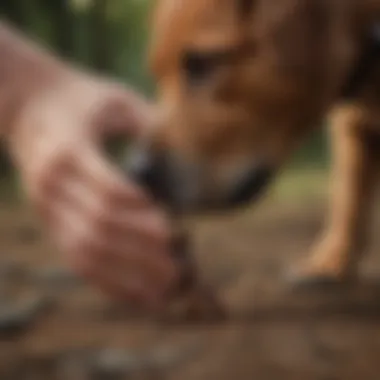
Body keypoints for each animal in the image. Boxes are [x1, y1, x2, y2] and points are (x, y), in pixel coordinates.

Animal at [131, 0, 380, 290]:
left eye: (200, 63)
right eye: (157, 75)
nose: (137, 172)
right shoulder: (351, 126)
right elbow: (348, 196)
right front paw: (330, 265)